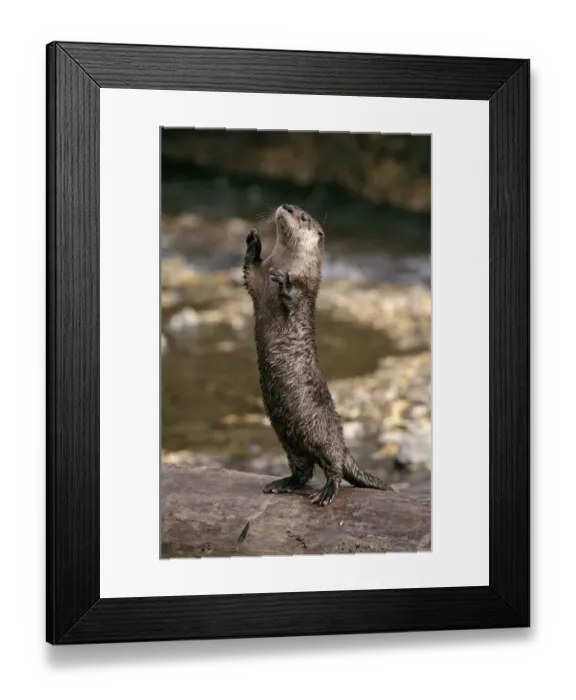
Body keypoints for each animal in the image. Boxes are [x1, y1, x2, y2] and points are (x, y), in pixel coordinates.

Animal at [243, 203, 393, 506]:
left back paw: (327, 492)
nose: (287, 206)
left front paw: (284, 284)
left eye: (303, 216)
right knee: (303, 470)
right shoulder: (258, 280)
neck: (284, 264)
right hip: (289, 441)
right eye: (291, 205)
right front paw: (253, 241)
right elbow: (248, 271)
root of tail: (345, 448)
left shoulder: (304, 288)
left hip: (322, 435)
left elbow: (294, 297)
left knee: (334, 467)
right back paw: (283, 483)